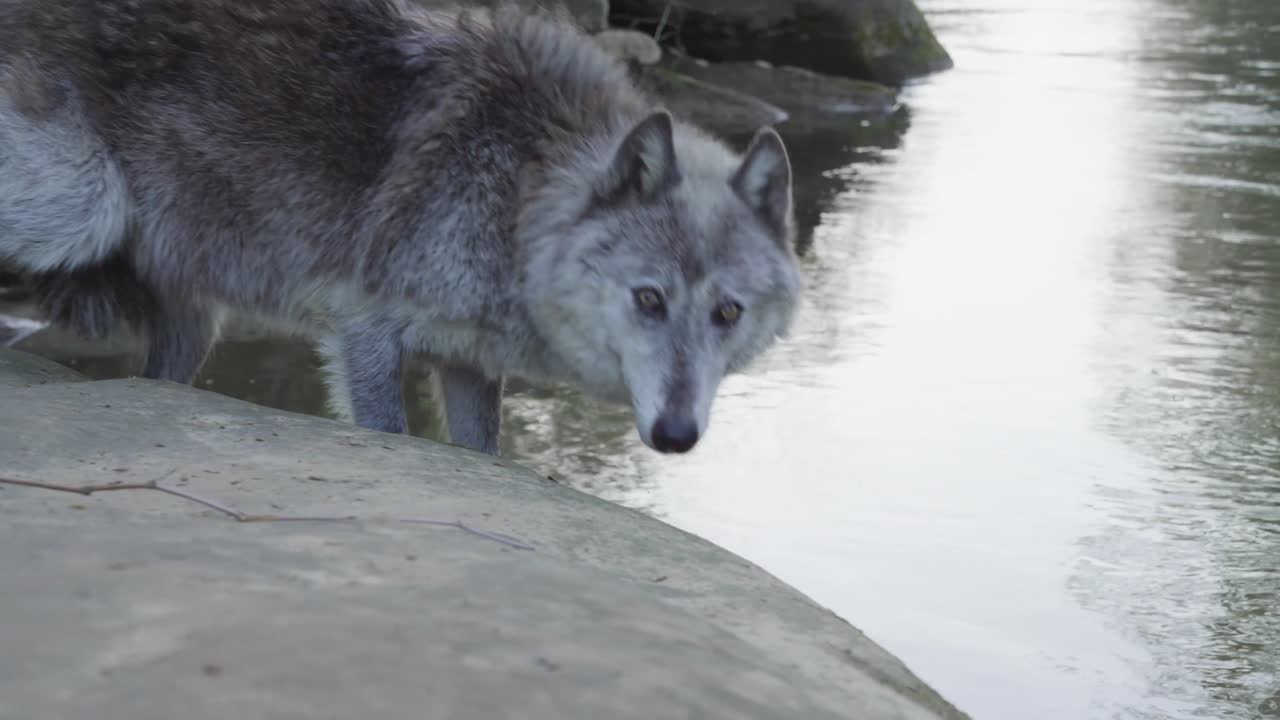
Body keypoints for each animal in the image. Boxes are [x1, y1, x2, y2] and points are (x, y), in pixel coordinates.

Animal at [0, 0, 802, 456]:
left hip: (194, 323)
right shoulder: (365, 332)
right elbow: (390, 434)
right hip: (84, 205)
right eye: (649, 299)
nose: (676, 437)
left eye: (727, 313)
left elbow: (483, 452)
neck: (521, 186)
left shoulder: (471, 367)